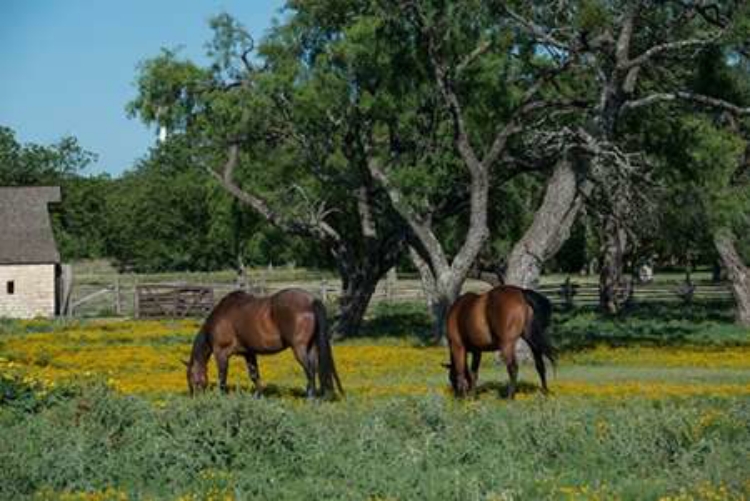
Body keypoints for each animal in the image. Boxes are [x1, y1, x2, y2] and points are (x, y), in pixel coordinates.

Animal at [187, 288, 346, 396]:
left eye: (192, 379)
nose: (196, 397)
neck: (221, 316)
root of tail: (311, 300)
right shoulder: (249, 353)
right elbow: (254, 375)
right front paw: (258, 395)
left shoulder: (221, 353)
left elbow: (222, 376)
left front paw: (221, 396)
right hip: (311, 347)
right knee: (314, 368)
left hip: (299, 349)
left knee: (310, 371)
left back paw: (310, 397)